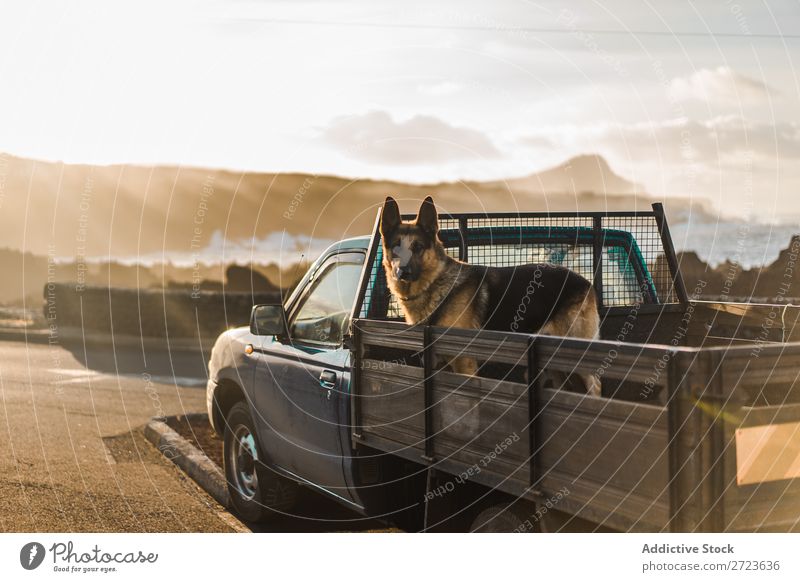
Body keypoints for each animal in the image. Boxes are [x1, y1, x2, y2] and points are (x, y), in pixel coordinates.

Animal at [380, 196, 600, 396]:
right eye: (395, 247)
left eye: (417, 247)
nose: (403, 272)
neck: (435, 282)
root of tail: (586, 281)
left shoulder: (464, 363)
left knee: (595, 387)